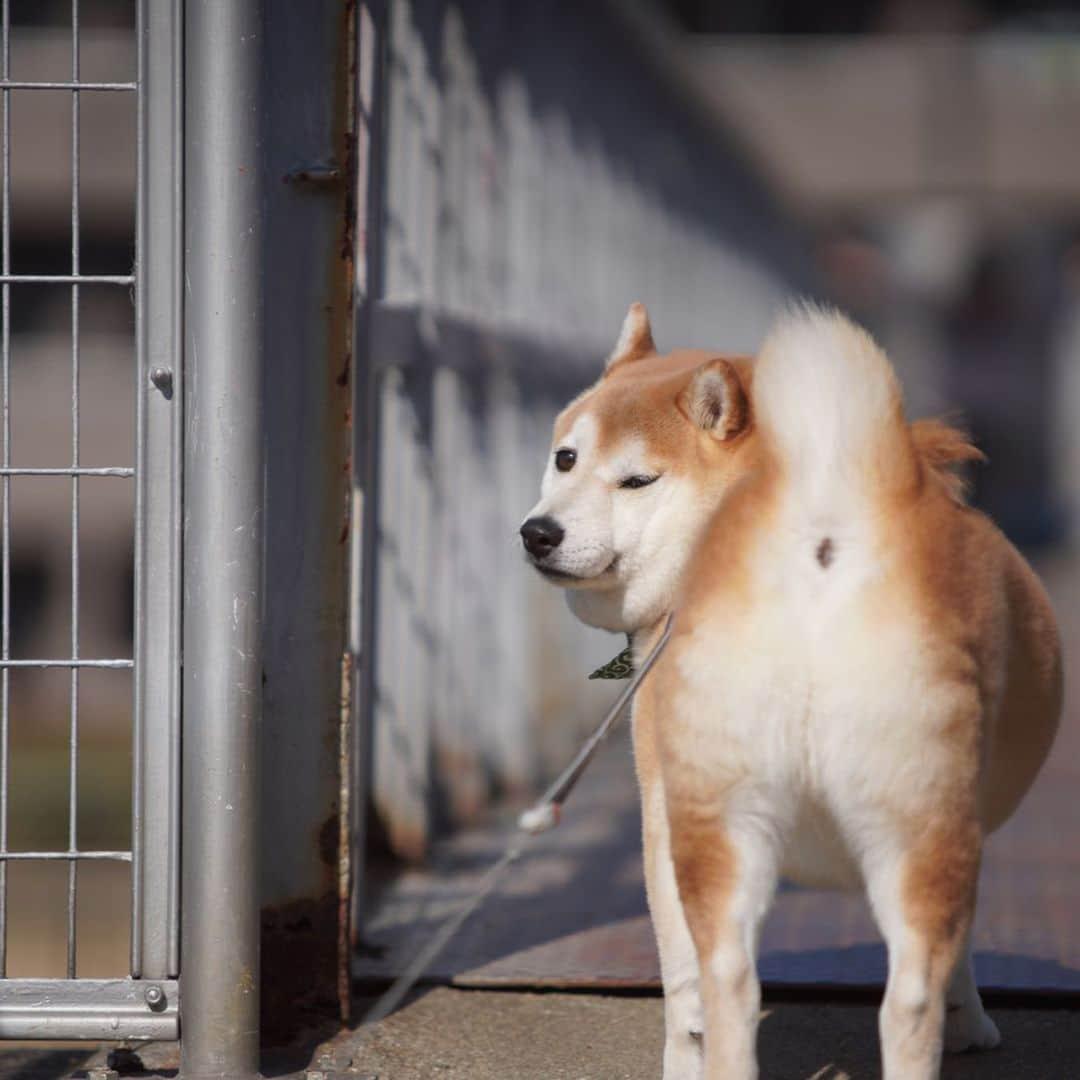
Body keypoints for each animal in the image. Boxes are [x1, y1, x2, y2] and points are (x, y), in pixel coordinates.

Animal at [520, 304, 1062, 1080]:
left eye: (637, 481)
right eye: (567, 459)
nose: (538, 533)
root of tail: (820, 531)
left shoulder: (666, 806)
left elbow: (681, 979)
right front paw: (973, 1020)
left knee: (730, 983)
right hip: (906, 820)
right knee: (904, 1001)